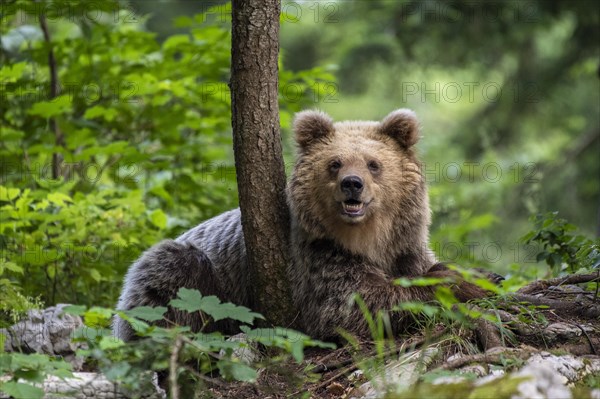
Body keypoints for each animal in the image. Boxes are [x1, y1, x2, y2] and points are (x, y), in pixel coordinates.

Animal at [113, 110, 488, 344]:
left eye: (373, 164)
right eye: (335, 163)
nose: (352, 184)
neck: (366, 239)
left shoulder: (404, 246)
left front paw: (477, 276)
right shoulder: (317, 260)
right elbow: (356, 306)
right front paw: (463, 284)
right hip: (192, 278)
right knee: (169, 284)